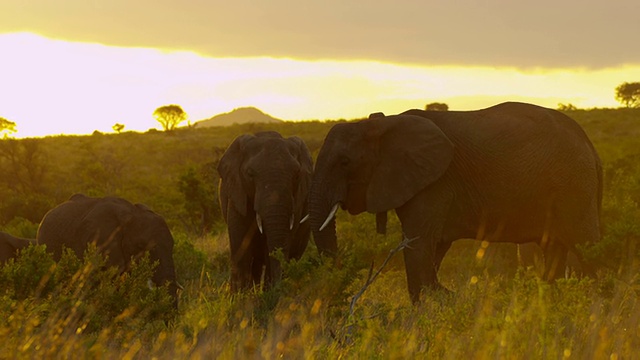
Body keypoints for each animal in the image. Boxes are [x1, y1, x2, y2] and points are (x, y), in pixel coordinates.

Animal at [218, 131, 312, 292]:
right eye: (250, 174)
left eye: (297, 174)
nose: (278, 288)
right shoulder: (237, 194)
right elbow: (241, 248)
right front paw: (239, 297)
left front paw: (270, 294)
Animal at [308, 101, 600, 304]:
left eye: (345, 162)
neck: (382, 124)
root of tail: (590, 144)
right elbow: (431, 247)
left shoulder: (435, 182)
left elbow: (419, 245)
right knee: (555, 251)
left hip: (575, 184)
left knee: (585, 249)